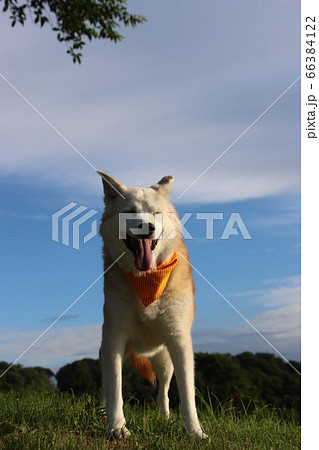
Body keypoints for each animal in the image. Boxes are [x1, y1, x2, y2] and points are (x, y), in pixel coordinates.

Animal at [97, 171, 208, 440]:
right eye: (129, 211)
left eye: (156, 213)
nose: (148, 228)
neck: (146, 279)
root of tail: (144, 350)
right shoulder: (114, 338)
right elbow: (115, 389)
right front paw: (116, 427)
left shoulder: (179, 340)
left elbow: (187, 394)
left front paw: (194, 431)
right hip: (106, 351)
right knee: (106, 386)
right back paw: (102, 411)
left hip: (164, 360)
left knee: (163, 391)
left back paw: (164, 417)